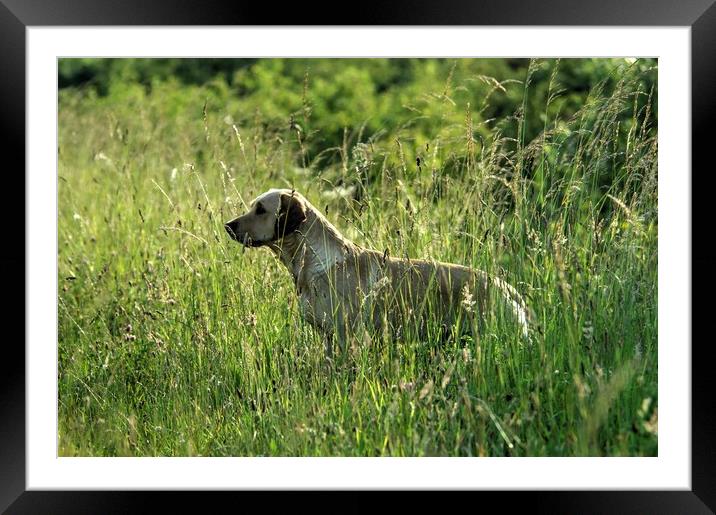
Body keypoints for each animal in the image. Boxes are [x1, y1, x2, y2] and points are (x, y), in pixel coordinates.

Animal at [225, 187, 532, 356]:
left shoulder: (347, 337)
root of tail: (505, 287)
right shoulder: (329, 338)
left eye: (261, 209)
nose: (228, 225)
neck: (314, 262)